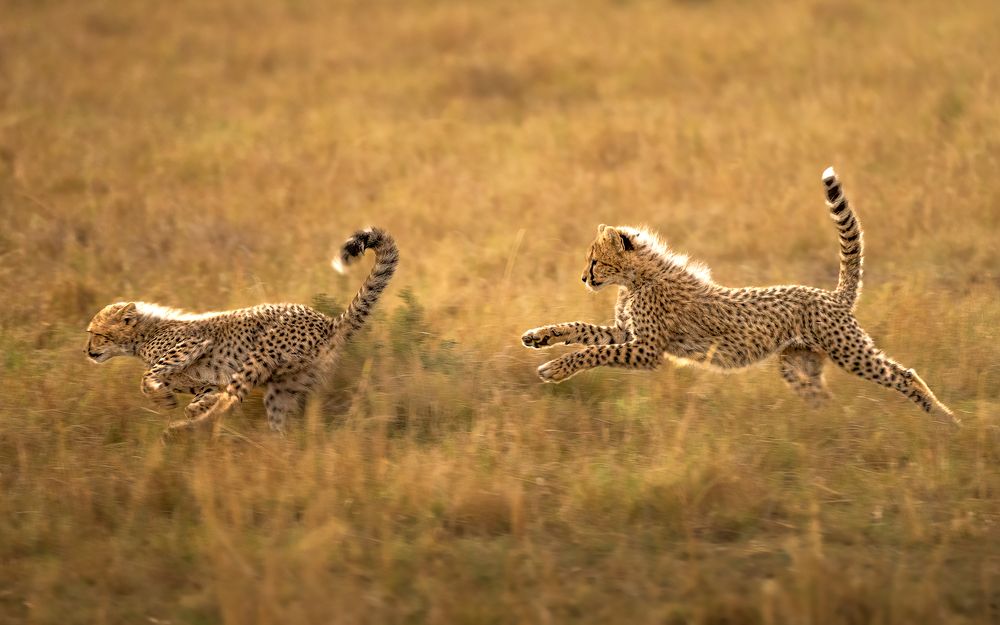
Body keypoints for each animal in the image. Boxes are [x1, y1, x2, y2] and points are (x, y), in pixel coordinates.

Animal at [85, 227, 398, 436]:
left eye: (97, 334)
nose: (87, 351)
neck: (143, 336)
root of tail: (327, 321)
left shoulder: (192, 344)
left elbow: (148, 377)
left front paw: (167, 401)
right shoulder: (203, 381)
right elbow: (200, 394)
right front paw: (191, 404)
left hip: (259, 355)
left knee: (232, 400)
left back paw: (179, 430)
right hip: (283, 388)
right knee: (269, 419)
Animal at [521, 167, 958, 425]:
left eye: (595, 261)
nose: (583, 277)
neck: (638, 279)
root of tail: (829, 295)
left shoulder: (646, 350)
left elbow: (593, 351)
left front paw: (555, 368)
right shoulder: (625, 333)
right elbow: (580, 329)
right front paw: (539, 337)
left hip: (849, 350)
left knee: (903, 374)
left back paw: (943, 418)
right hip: (795, 364)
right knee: (822, 395)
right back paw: (824, 428)